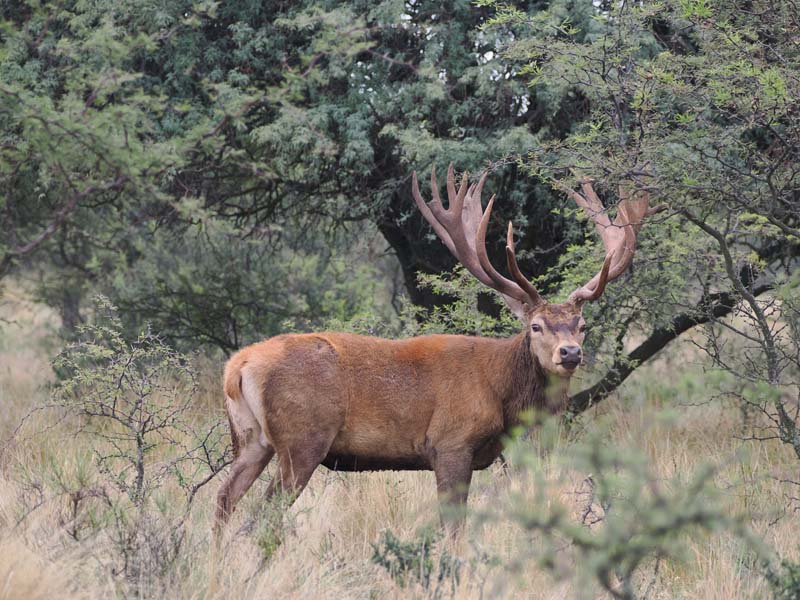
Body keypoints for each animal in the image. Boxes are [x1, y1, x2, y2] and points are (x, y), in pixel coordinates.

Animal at [213, 165, 659, 536]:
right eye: (535, 327)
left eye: (582, 326)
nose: (569, 354)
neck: (502, 396)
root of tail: (237, 367)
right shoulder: (450, 443)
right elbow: (453, 527)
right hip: (302, 439)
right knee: (262, 516)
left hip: (251, 439)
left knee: (223, 499)